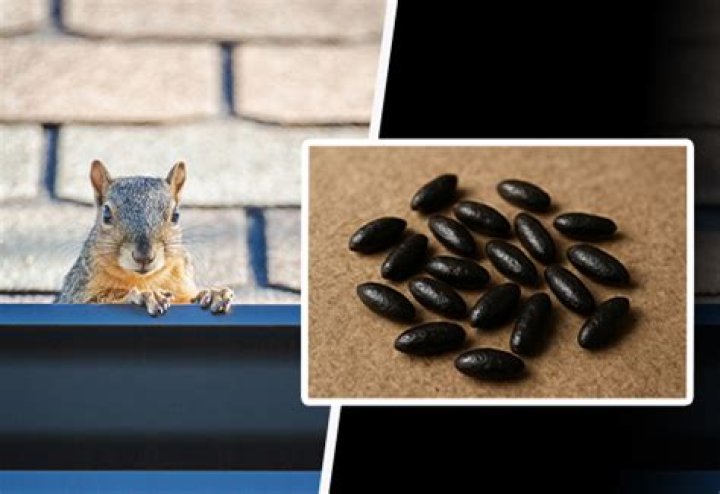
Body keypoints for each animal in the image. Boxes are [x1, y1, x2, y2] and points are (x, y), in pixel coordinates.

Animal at [58, 160, 234, 316]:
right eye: (106, 214)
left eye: (175, 215)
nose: (144, 256)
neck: (144, 280)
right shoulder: (76, 293)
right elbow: (102, 298)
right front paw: (145, 295)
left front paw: (212, 294)